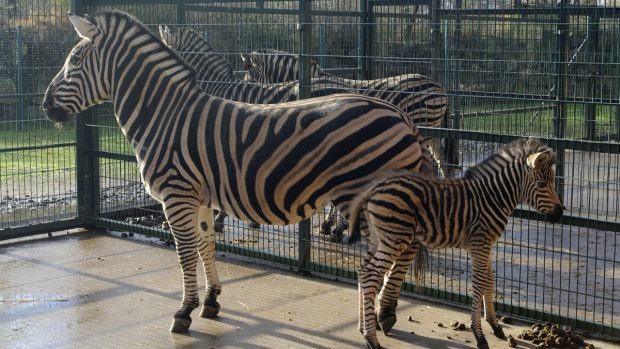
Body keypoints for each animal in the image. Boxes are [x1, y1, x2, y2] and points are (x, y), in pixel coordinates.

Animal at [42, 11, 436, 334]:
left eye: (74, 60)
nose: (45, 107)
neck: (164, 117)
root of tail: (402, 117)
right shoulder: (200, 197)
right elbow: (206, 246)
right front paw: (211, 300)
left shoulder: (176, 195)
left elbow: (185, 253)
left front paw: (183, 312)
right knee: (403, 251)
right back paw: (386, 311)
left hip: (370, 198)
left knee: (398, 251)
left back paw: (384, 313)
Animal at [348, 138, 560, 348]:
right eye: (542, 183)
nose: (559, 213)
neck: (493, 198)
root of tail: (375, 186)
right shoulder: (479, 243)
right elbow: (479, 283)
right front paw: (479, 335)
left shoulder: (486, 244)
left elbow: (489, 280)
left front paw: (495, 326)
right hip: (394, 238)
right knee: (370, 275)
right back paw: (371, 340)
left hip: (379, 239)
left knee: (362, 271)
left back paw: (362, 329)